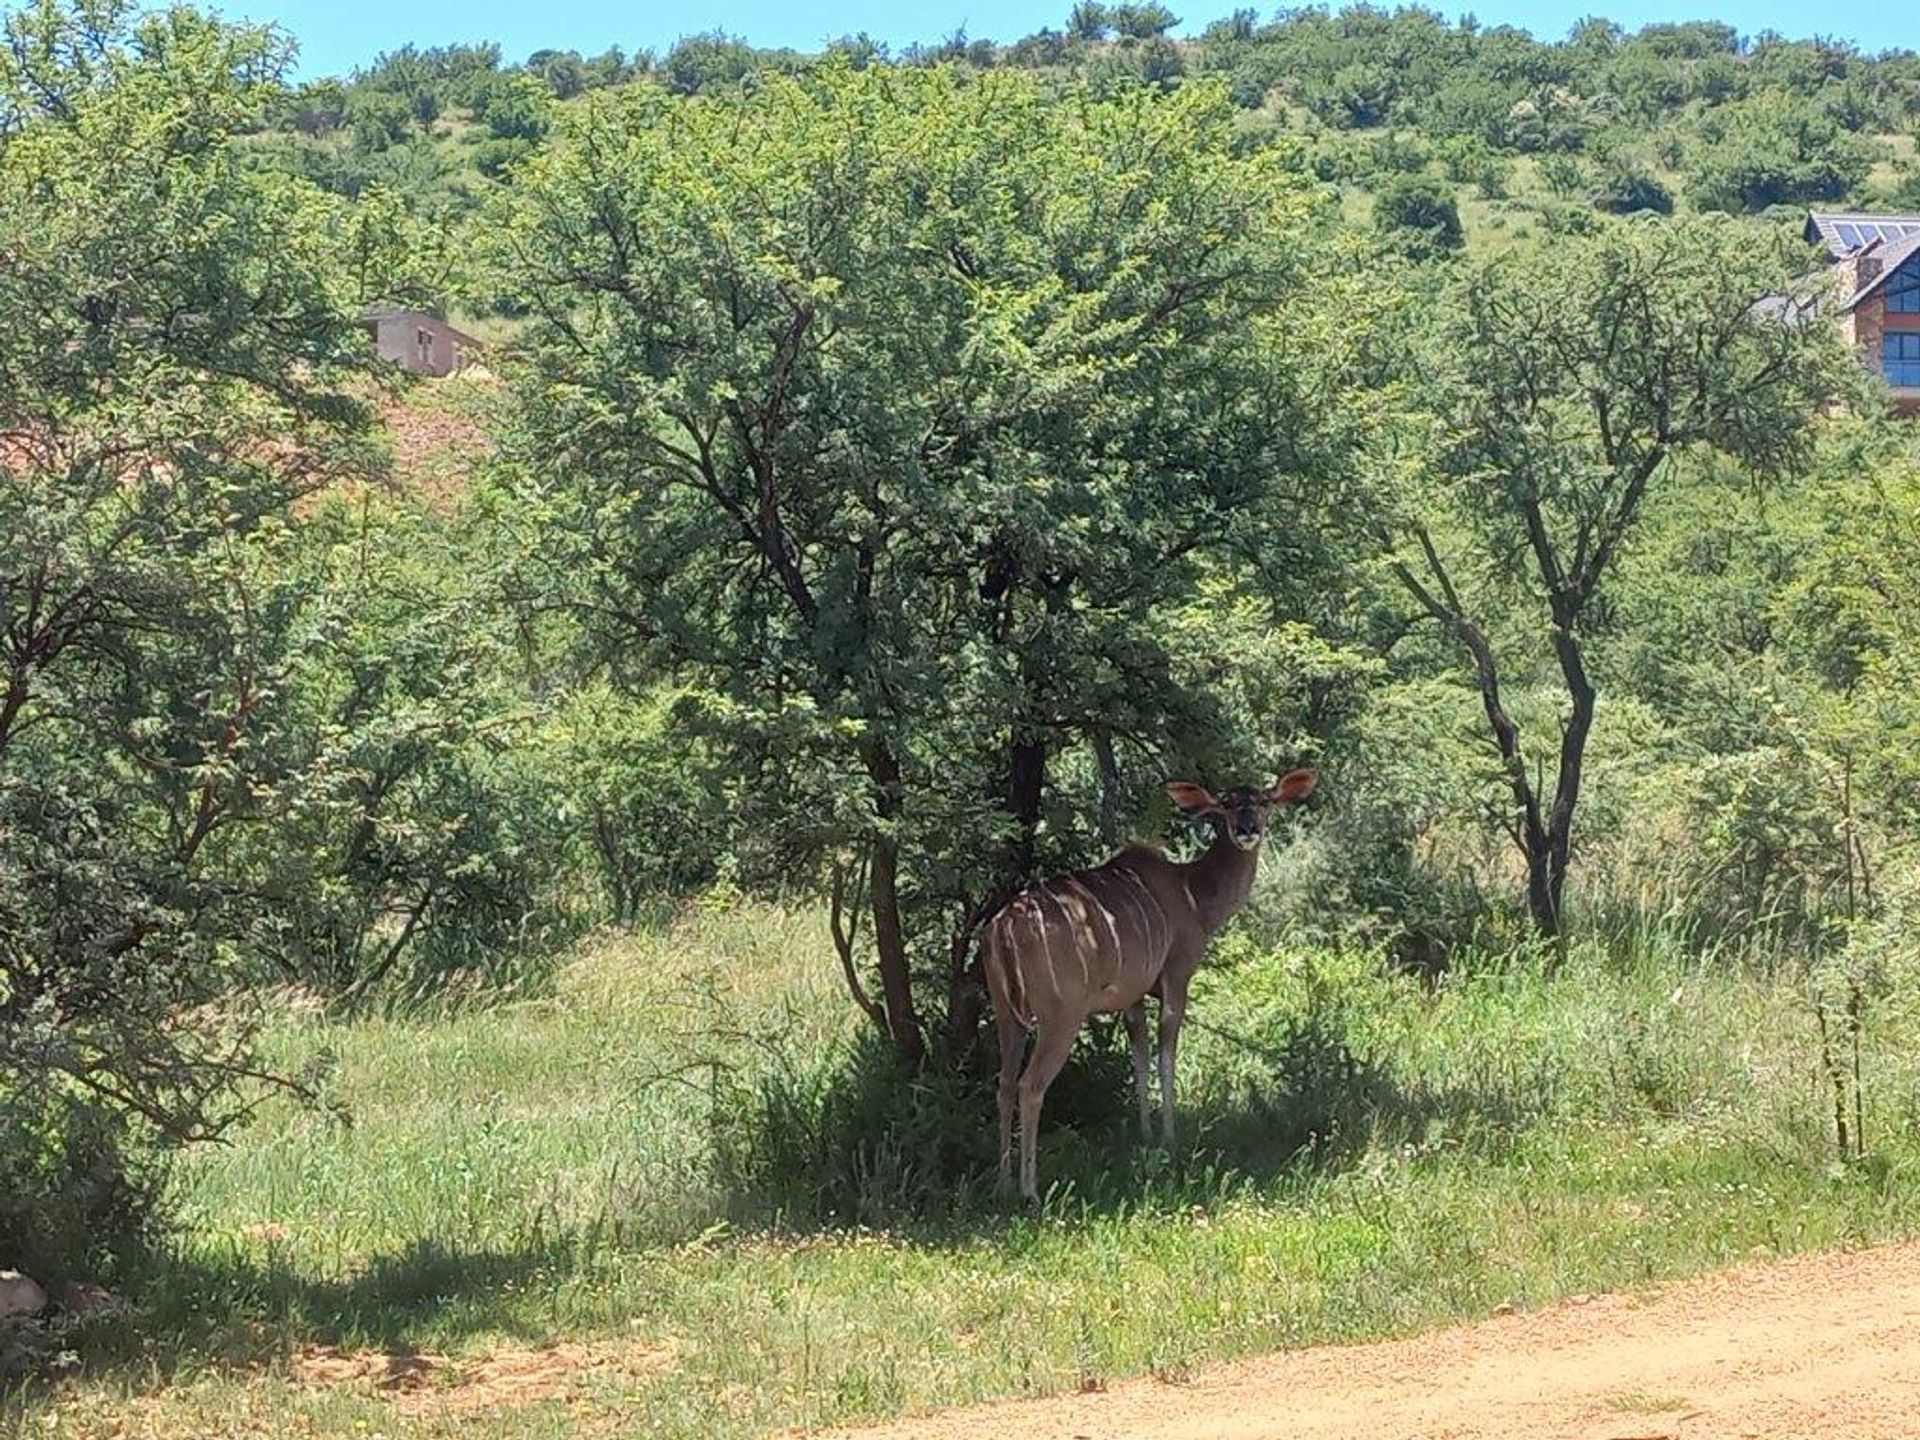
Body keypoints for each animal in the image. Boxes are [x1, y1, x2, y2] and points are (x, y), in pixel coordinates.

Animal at [983, 771, 1313, 1198]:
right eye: (1225, 804)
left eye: (1264, 801)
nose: (1247, 829)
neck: (1193, 895)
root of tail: (1003, 930)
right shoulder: (1177, 974)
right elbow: (1165, 1054)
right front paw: (1170, 1137)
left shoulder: (1132, 996)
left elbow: (1138, 1055)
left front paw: (1145, 1133)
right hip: (1061, 1017)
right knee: (1030, 1085)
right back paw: (1030, 1190)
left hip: (1007, 1014)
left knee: (1005, 1083)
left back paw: (1003, 1183)